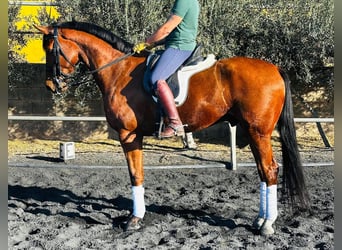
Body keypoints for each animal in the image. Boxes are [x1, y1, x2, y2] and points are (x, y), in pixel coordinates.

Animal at [34, 21, 310, 234]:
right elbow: (137, 174)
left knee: (270, 170)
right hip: (251, 131)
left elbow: (135, 175)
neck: (117, 69)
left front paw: (134, 219)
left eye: (49, 48)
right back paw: (260, 219)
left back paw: (267, 224)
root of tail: (275, 68)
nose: (50, 85)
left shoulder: (128, 134)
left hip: (258, 132)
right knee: (263, 172)